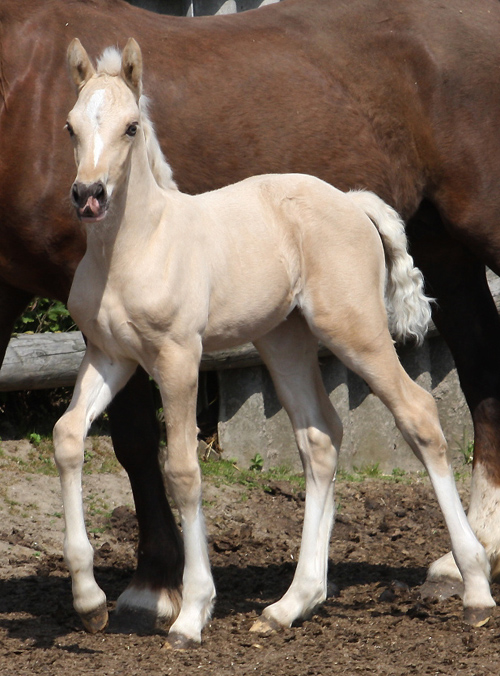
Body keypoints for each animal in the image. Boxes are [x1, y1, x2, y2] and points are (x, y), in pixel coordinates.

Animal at [2, 0, 500, 631]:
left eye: (130, 127)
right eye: (69, 126)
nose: (88, 195)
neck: (138, 244)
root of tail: (353, 201)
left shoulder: (177, 357)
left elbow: (182, 468)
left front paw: (189, 611)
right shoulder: (110, 355)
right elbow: (69, 437)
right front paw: (90, 602)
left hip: (355, 328)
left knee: (420, 413)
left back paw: (472, 581)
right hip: (289, 337)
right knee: (321, 437)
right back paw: (294, 602)